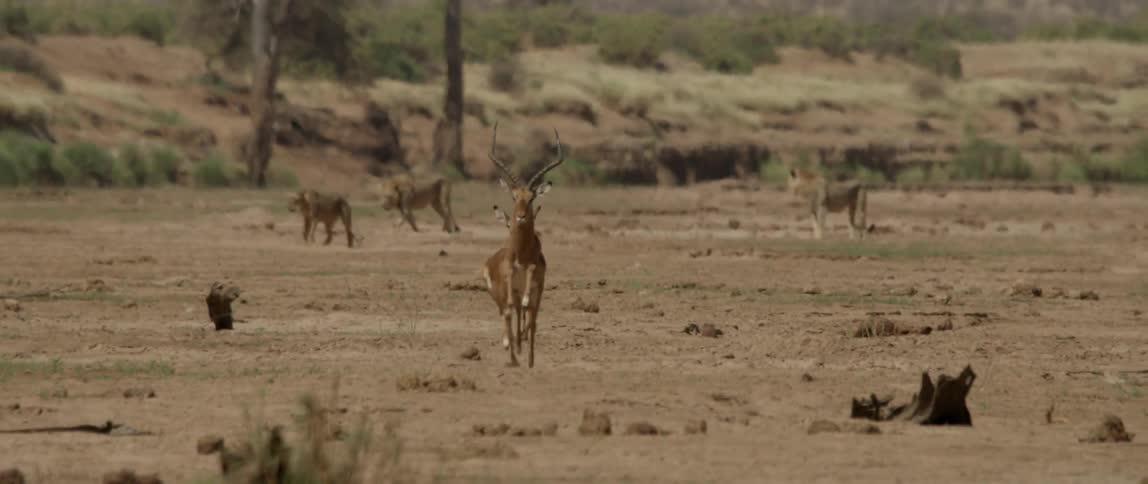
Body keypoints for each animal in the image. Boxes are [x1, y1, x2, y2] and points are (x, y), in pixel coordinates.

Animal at [482, 123, 563, 368]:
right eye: (514, 196)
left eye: (532, 197)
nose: (520, 217)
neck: (521, 252)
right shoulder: (509, 276)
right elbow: (510, 308)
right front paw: (511, 345)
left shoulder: (532, 271)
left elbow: (528, 294)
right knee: (514, 313)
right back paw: (515, 349)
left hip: (538, 292)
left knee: (531, 319)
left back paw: (528, 357)